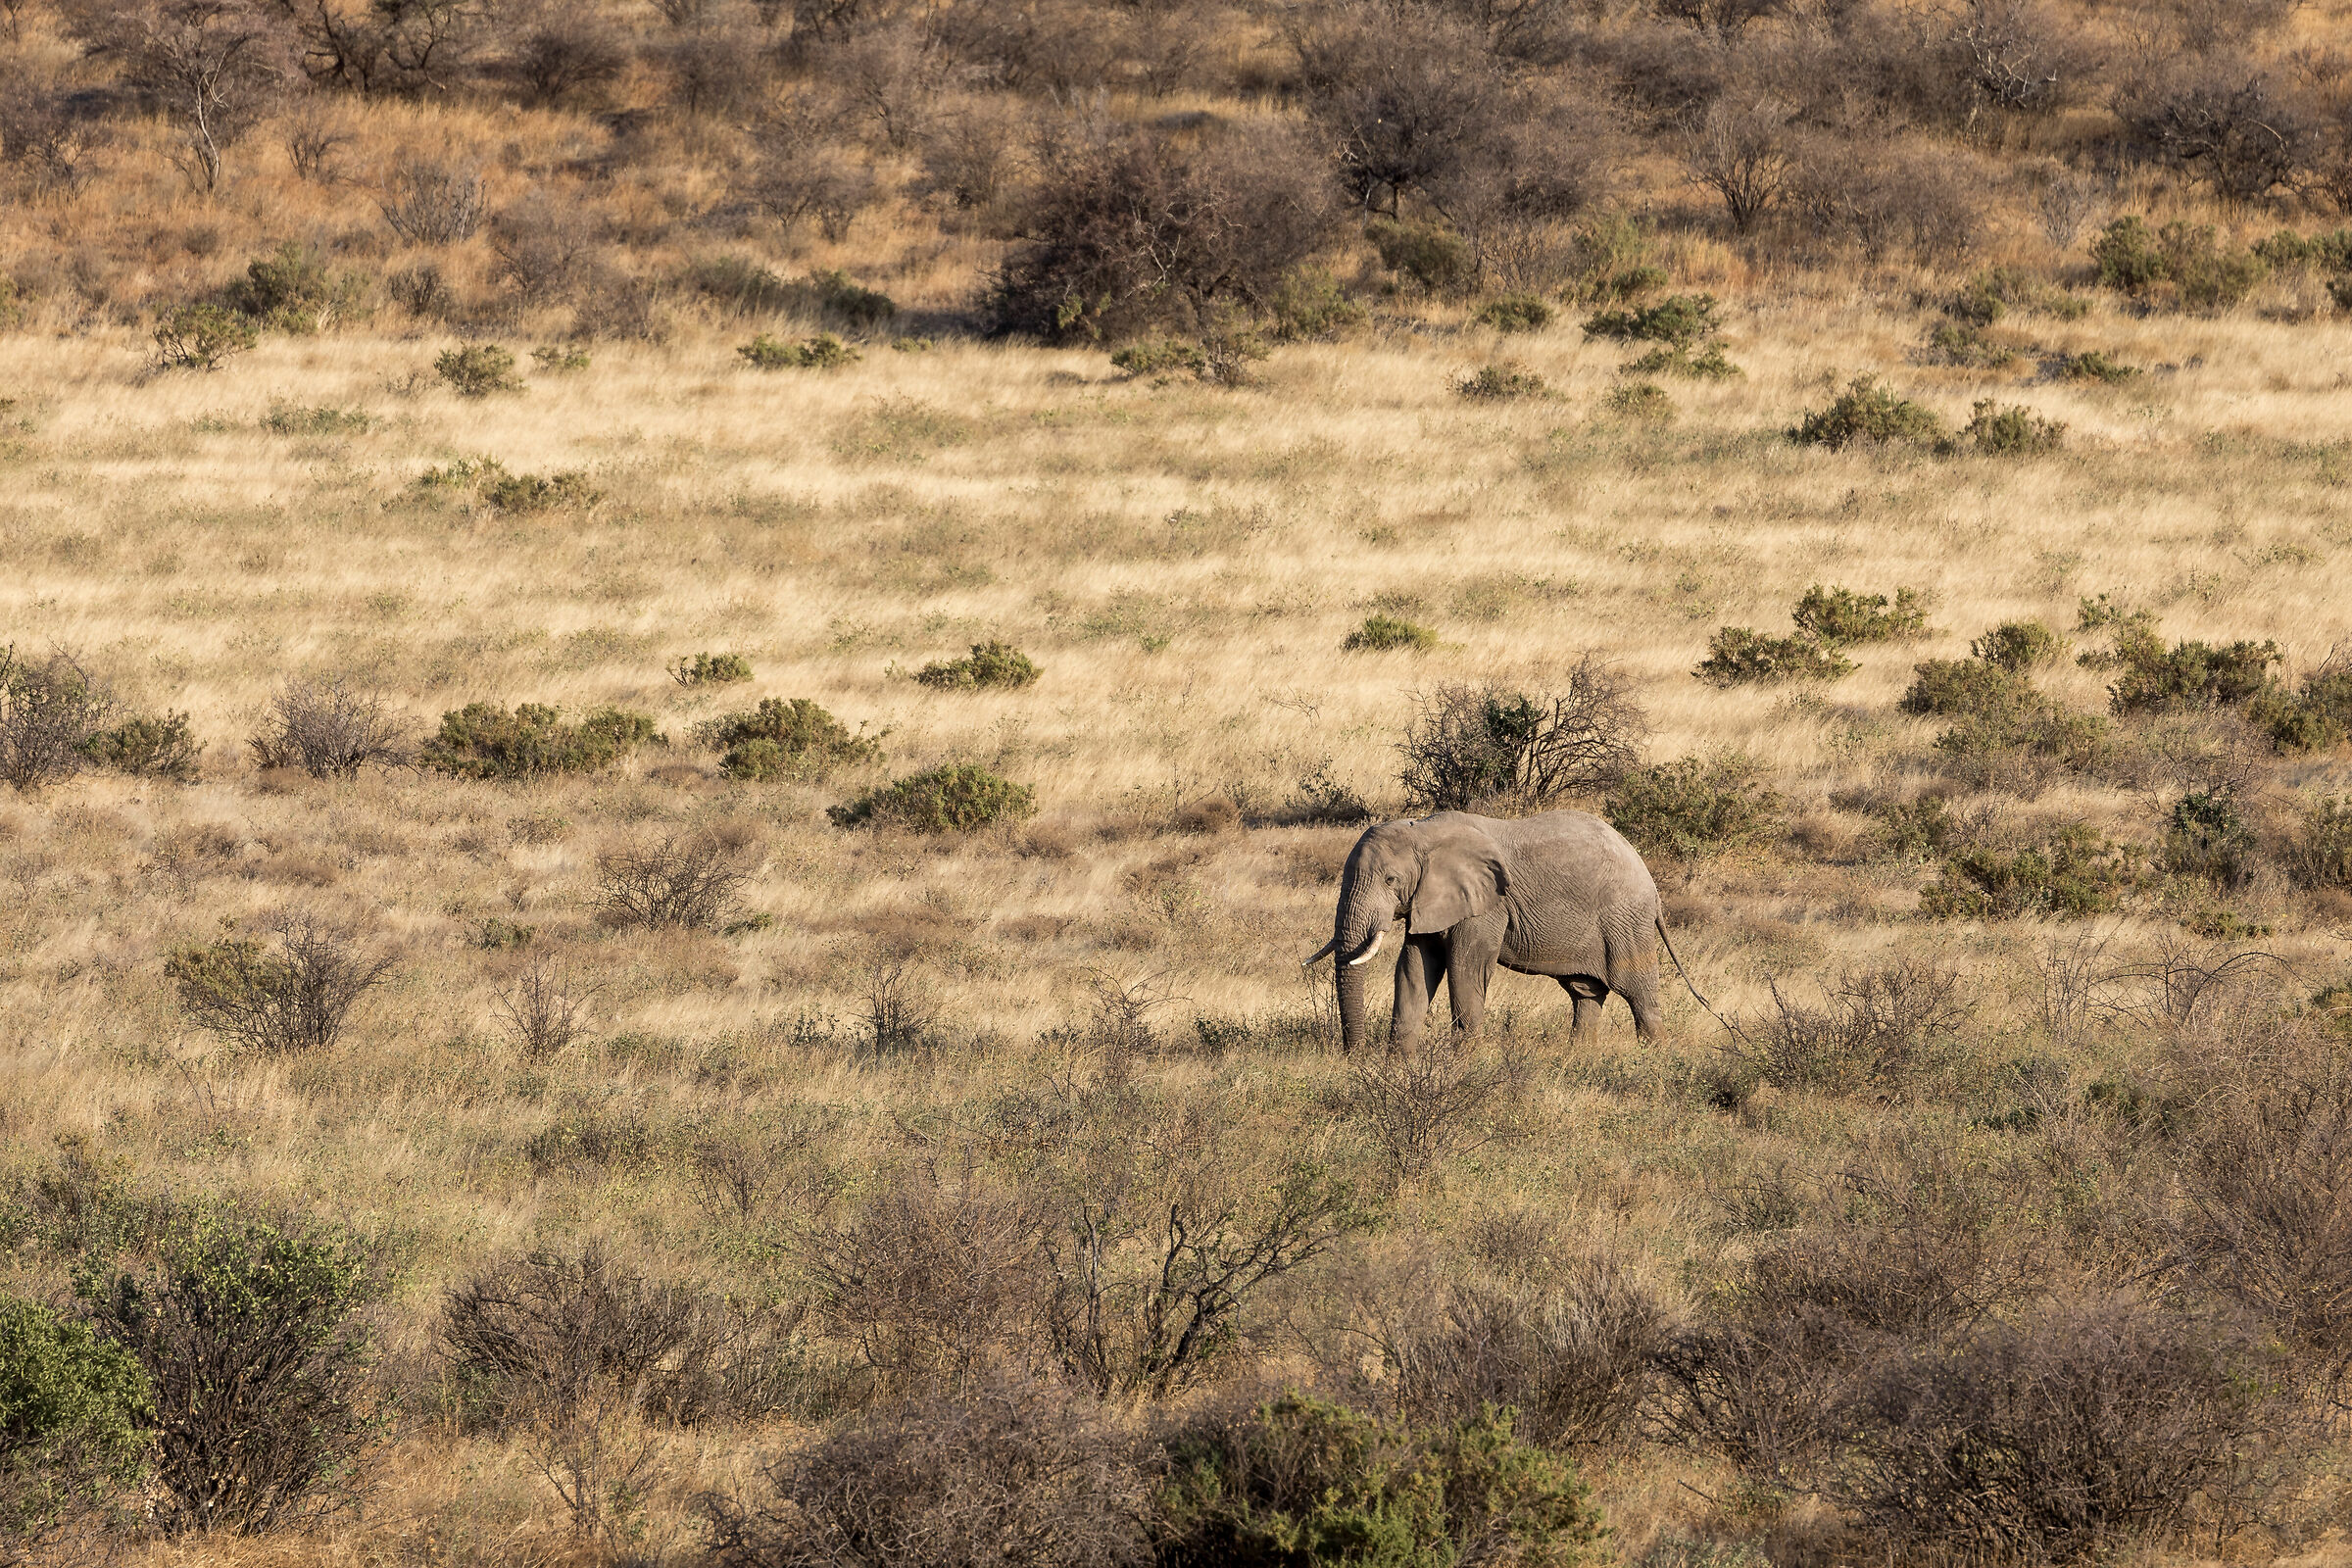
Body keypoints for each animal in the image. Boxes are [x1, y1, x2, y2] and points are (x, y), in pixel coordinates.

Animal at [1304, 809, 1674, 1054]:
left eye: (1390, 880)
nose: (1354, 1057)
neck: (1423, 831)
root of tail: (1650, 881)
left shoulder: (1487, 906)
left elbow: (1465, 969)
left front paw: (1463, 1062)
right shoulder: (1431, 899)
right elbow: (1414, 968)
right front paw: (1398, 1063)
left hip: (1625, 922)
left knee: (1637, 989)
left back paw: (1653, 1056)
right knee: (1585, 992)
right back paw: (1579, 1055)